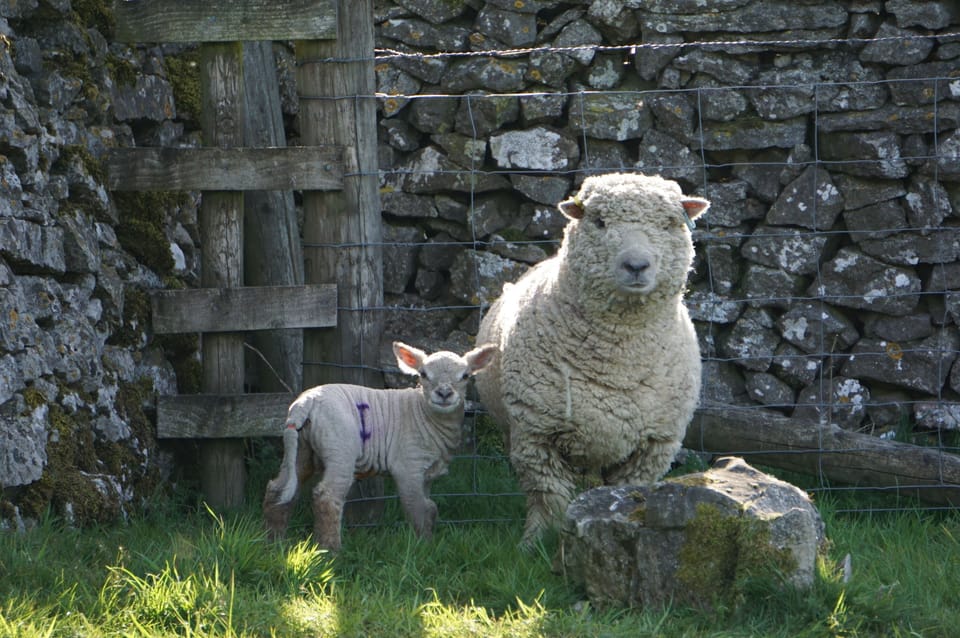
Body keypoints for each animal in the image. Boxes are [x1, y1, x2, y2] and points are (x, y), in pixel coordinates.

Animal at [262, 341, 497, 550]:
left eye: (465, 376)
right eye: (423, 374)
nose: (444, 394)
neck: (424, 414)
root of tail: (305, 404)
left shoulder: (426, 474)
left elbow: (429, 507)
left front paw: (429, 542)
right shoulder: (408, 466)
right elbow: (419, 508)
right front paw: (424, 547)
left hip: (301, 448)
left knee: (279, 488)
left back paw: (274, 542)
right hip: (340, 451)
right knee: (327, 496)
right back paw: (330, 551)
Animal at [474, 172, 710, 546]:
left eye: (668, 223)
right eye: (599, 222)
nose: (637, 266)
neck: (618, 359)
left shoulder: (653, 446)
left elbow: (629, 494)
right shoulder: (537, 434)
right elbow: (547, 496)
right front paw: (537, 541)